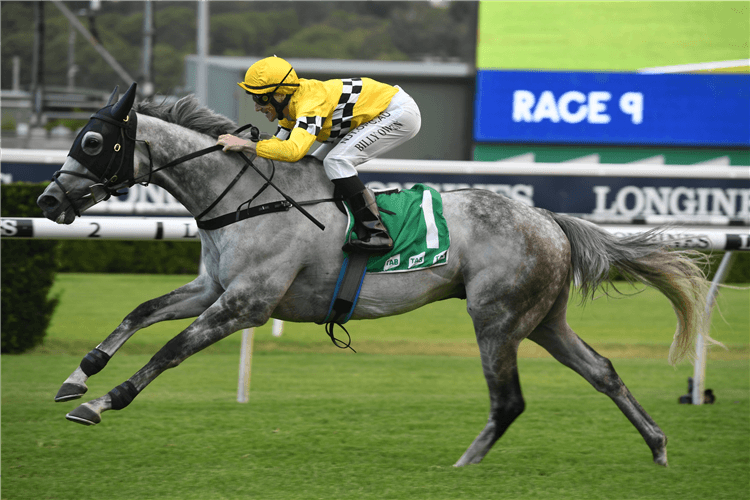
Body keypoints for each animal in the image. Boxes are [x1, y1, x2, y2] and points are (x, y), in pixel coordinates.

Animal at [36, 84, 716, 466]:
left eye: (92, 142)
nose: (48, 200)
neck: (247, 196)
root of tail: (547, 218)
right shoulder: (214, 287)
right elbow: (142, 312)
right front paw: (77, 377)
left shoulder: (246, 303)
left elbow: (171, 349)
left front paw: (103, 401)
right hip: (543, 319)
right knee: (602, 372)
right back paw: (657, 446)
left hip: (497, 319)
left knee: (509, 399)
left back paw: (465, 465)